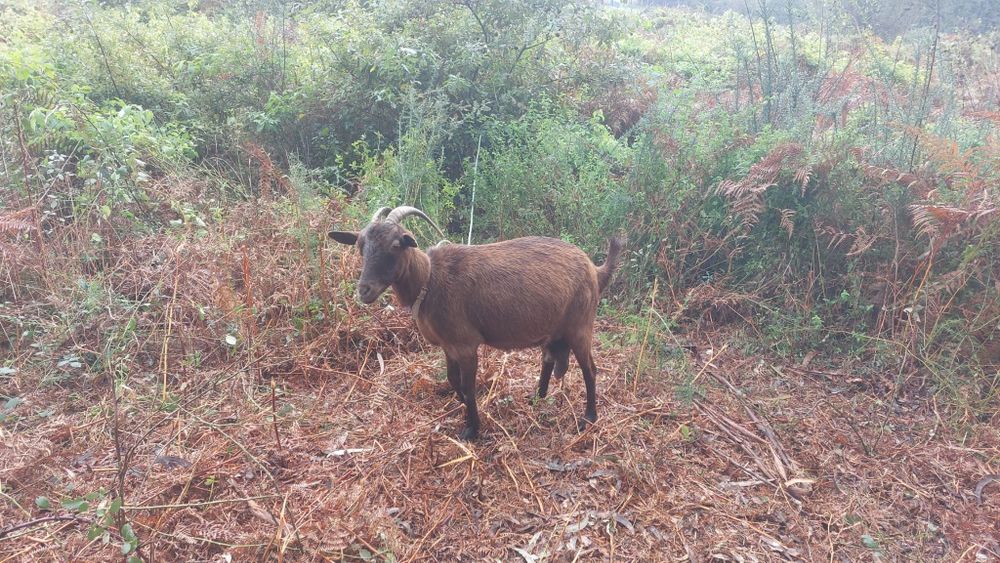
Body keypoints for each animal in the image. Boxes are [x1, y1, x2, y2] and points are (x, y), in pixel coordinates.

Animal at [330, 206, 623, 440]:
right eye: (360, 246)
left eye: (395, 244)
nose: (364, 290)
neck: (430, 280)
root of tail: (595, 269)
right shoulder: (448, 346)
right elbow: (452, 379)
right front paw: (462, 407)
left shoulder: (466, 344)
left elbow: (468, 387)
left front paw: (472, 429)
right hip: (553, 328)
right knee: (549, 360)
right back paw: (536, 399)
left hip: (580, 326)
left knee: (590, 369)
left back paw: (589, 417)